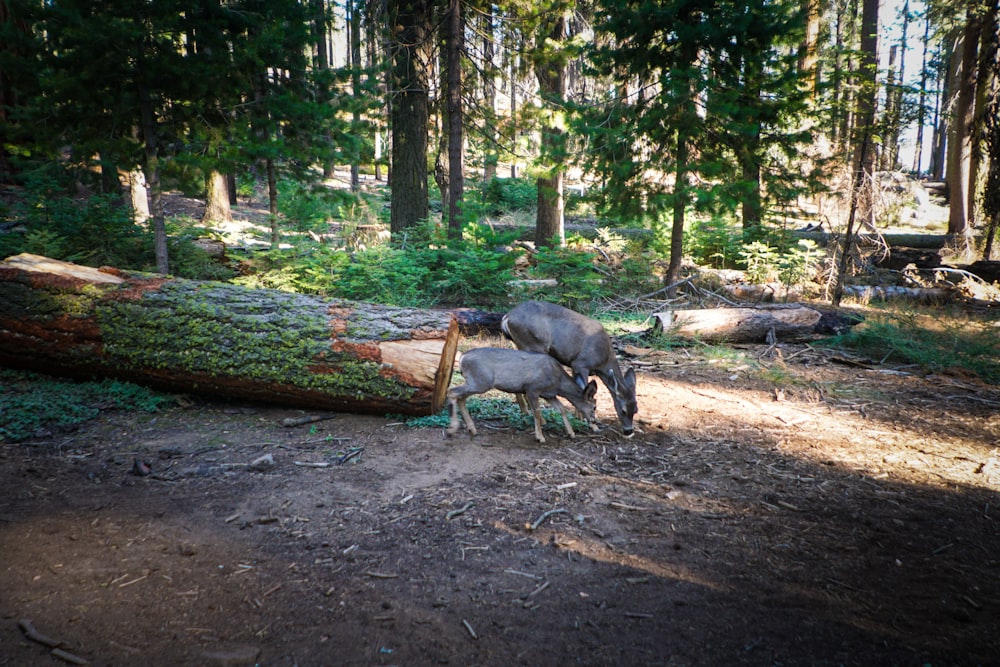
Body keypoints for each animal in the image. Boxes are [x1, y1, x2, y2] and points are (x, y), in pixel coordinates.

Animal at [448, 350, 596, 444]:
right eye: (594, 407)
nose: (595, 422)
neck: (558, 382)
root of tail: (462, 357)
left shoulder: (549, 394)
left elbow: (561, 409)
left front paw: (571, 433)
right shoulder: (532, 388)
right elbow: (537, 412)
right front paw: (540, 437)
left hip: (477, 382)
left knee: (461, 398)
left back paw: (472, 429)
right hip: (480, 381)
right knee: (452, 392)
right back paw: (453, 428)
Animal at [504, 302, 636, 438]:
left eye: (636, 410)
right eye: (623, 410)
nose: (629, 431)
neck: (604, 360)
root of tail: (507, 317)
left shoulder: (574, 365)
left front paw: (578, 417)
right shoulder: (581, 363)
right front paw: (590, 423)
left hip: (520, 344)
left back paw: (525, 410)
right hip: (532, 344)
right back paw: (539, 418)